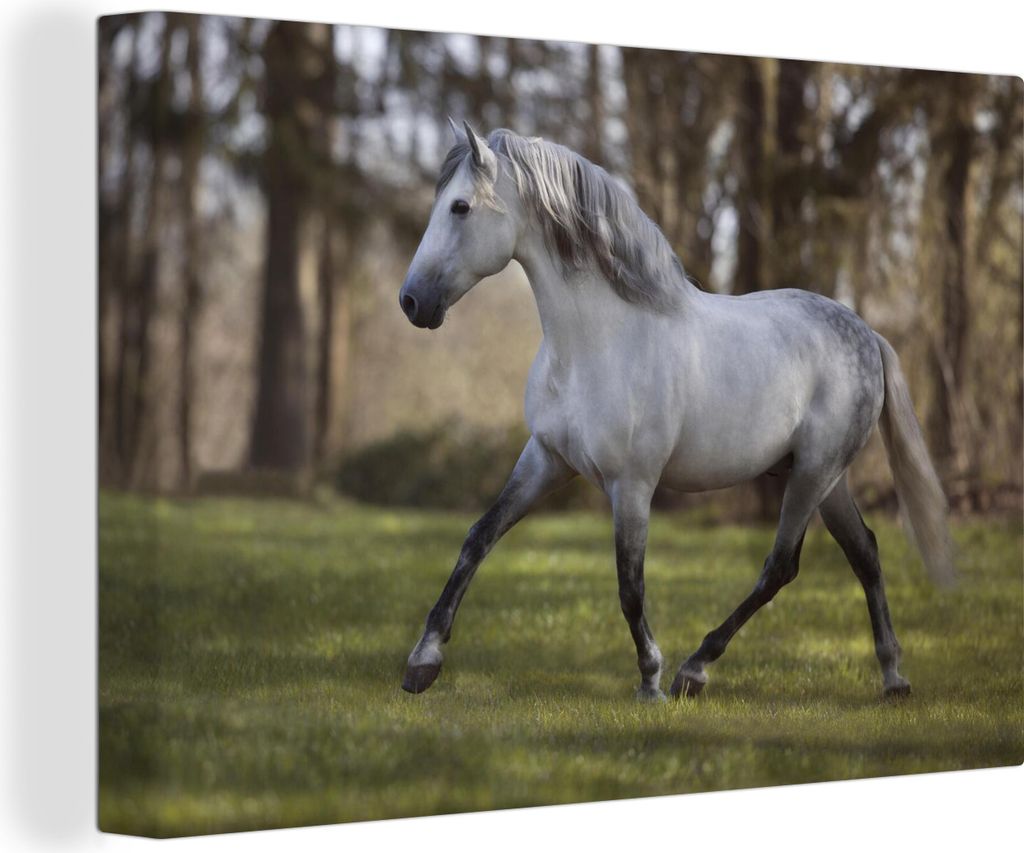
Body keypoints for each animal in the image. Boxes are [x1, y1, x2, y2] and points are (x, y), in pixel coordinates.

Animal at [397, 120, 954, 702]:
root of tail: (868, 335)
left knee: (780, 567)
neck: (596, 344)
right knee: (864, 553)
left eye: (460, 207)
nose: (412, 302)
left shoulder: (632, 484)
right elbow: (478, 538)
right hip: (823, 479)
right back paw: (892, 676)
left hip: (814, 475)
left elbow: (630, 584)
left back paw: (695, 668)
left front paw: (650, 678)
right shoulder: (546, 459)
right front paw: (422, 662)